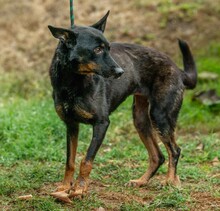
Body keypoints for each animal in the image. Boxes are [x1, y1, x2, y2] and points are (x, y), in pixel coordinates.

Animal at [48, 11, 198, 203]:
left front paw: (80, 189)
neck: (72, 82)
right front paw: (65, 187)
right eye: (97, 49)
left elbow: (86, 161)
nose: (121, 72)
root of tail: (178, 69)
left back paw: (169, 182)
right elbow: (70, 161)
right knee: (158, 156)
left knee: (175, 151)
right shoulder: (71, 125)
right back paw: (144, 181)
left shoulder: (102, 124)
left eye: (108, 48)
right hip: (140, 120)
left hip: (160, 116)